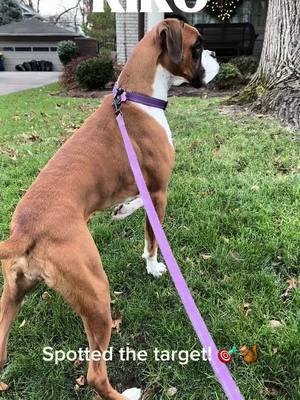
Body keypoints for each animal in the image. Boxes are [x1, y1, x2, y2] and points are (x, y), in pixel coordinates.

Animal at [0, 18, 218, 400]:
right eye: (198, 45)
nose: (216, 54)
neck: (137, 97)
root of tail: (24, 232)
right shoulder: (159, 191)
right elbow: (152, 238)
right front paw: (153, 267)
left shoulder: (143, 188)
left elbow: (134, 207)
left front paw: (122, 211)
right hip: (96, 294)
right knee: (94, 374)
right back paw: (126, 394)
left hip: (12, 296)